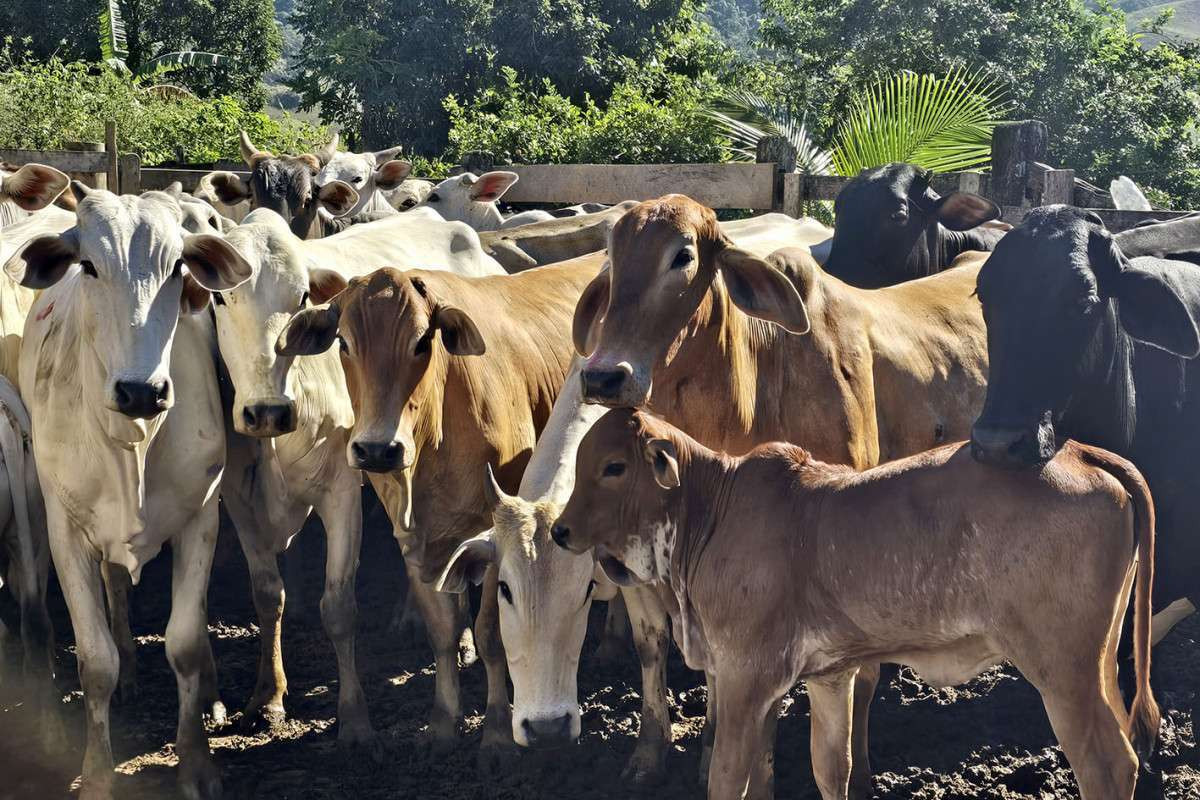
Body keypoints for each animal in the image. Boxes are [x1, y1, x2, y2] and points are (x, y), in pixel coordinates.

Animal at [4, 182, 253, 800]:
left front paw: (197, 763)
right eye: (89, 266)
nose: (142, 390)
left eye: (178, 268)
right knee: (112, 589)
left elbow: (184, 645)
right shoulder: (65, 532)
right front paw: (96, 774)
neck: (133, 442)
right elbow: (96, 662)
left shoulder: (201, 519)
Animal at [274, 254, 602, 766]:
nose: (377, 450)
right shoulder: (414, 540)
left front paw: (495, 732)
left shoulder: (495, 533)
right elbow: (443, 631)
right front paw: (445, 722)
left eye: (422, 341)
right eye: (343, 342)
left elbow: (491, 634)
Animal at [552, 407, 1158, 800]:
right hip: (1099, 661)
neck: (710, 513)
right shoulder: (826, 676)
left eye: (614, 467)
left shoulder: (746, 675)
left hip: (1062, 670)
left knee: (1107, 765)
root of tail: (1081, 451)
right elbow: (826, 770)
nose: (560, 530)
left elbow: (728, 778)